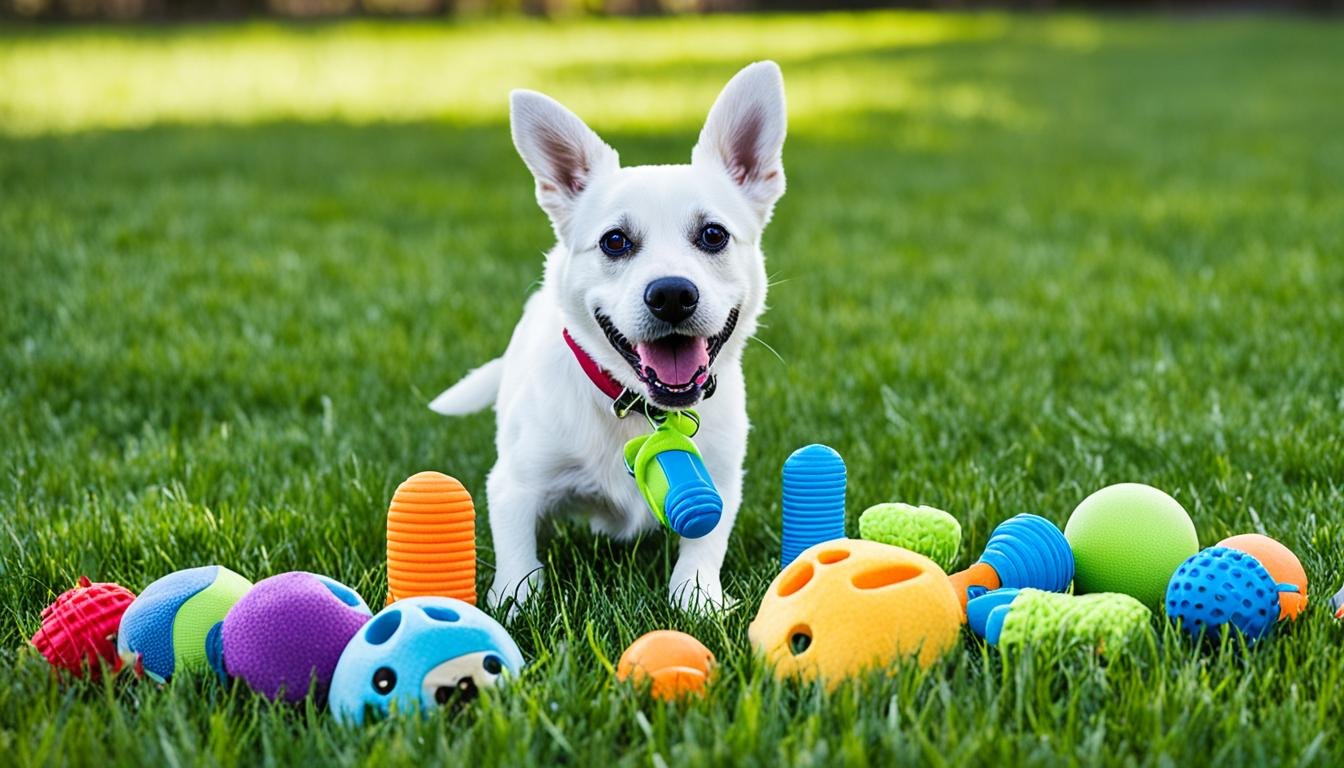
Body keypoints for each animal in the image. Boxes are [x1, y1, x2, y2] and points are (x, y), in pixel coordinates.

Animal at [430, 60, 784, 616]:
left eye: (714, 235)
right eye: (615, 242)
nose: (671, 294)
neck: (642, 410)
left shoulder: (722, 481)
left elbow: (703, 547)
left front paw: (699, 599)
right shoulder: (513, 486)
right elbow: (518, 564)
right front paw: (514, 607)